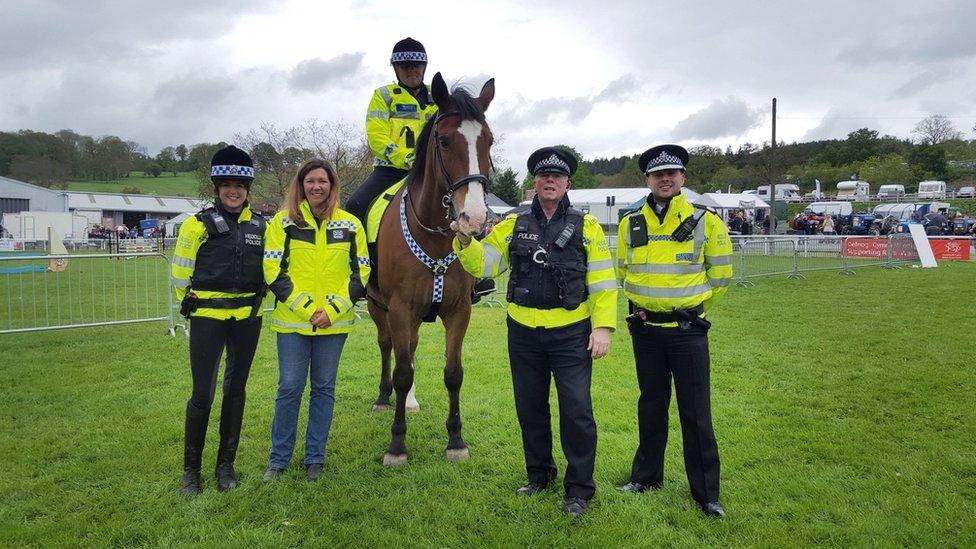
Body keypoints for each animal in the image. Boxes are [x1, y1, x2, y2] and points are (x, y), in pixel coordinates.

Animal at [370, 71, 500, 466]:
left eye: (489, 140)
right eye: (443, 141)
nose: (473, 218)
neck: (435, 237)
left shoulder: (459, 310)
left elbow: (453, 373)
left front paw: (456, 440)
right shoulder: (399, 308)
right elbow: (401, 371)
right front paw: (397, 444)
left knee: (408, 349)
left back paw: (410, 402)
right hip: (379, 308)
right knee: (388, 348)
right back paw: (384, 398)